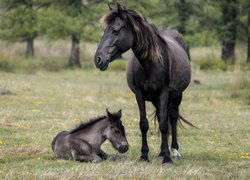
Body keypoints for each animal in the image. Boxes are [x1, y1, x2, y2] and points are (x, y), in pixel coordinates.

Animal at [94, 3, 191, 165]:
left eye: (115, 30)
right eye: (104, 31)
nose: (98, 59)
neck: (150, 63)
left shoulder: (164, 93)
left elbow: (164, 124)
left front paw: (167, 159)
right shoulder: (139, 94)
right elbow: (144, 124)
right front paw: (144, 156)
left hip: (177, 95)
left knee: (172, 118)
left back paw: (174, 152)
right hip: (157, 100)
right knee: (163, 118)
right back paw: (161, 152)